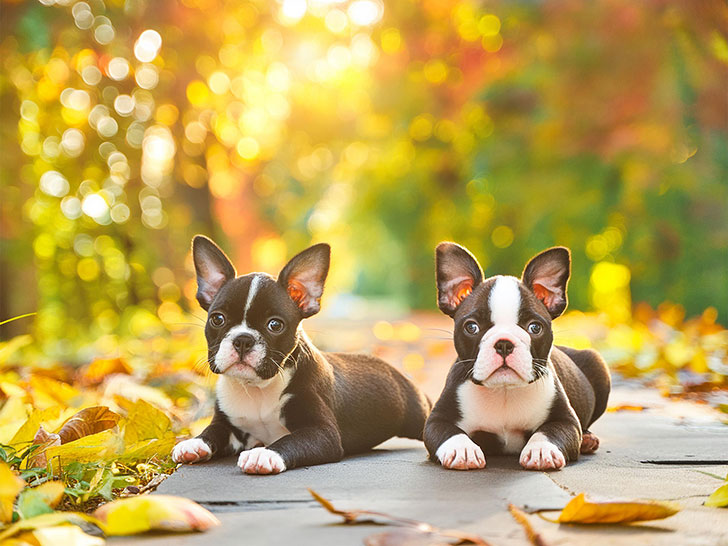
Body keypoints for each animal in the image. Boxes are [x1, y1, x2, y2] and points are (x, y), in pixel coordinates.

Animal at [173, 237, 430, 472]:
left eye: (275, 325)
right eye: (217, 319)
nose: (243, 340)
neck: (257, 389)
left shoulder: (322, 433)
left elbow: (290, 440)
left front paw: (265, 454)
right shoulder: (228, 425)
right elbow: (212, 431)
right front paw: (193, 443)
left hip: (417, 415)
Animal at [424, 244, 612, 470]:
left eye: (534, 327)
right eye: (471, 327)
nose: (504, 343)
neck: (504, 392)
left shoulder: (566, 421)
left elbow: (548, 432)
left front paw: (541, 450)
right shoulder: (436, 420)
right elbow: (449, 432)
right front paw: (463, 449)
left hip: (597, 363)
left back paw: (587, 439)